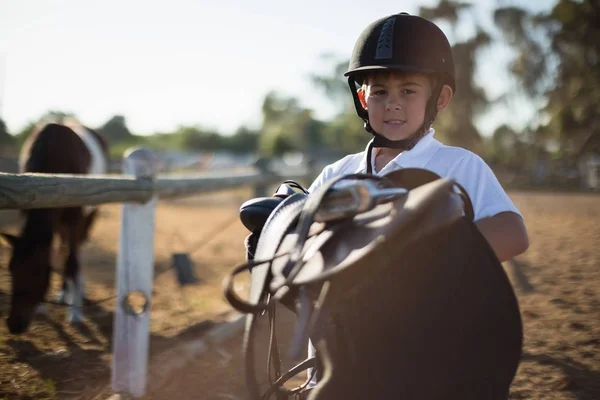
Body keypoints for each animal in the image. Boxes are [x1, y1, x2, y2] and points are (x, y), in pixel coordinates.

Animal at [0, 121, 108, 334]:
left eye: (37, 272)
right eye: (11, 269)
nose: (15, 324)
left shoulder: (75, 218)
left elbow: (72, 262)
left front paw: (74, 314)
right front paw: (42, 306)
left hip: (89, 216)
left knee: (77, 251)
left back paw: (77, 292)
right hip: (62, 224)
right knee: (63, 248)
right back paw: (64, 293)